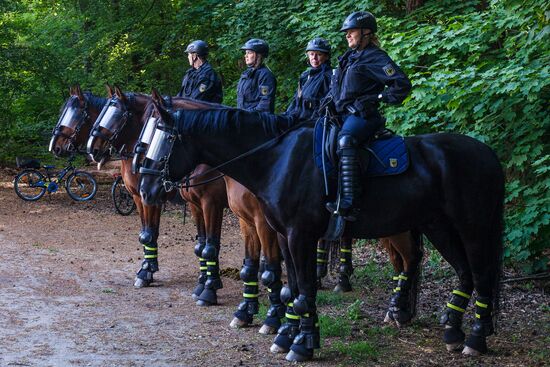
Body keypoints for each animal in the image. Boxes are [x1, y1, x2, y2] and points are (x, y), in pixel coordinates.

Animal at [141, 97, 504, 362]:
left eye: (164, 140)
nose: (146, 189)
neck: (276, 159)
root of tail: (487, 152)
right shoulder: (282, 235)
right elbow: (291, 289)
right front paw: (287, 335)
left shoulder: (299, 235)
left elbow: (302, 289)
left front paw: (302, 343)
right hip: (436, 225)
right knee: (461, 272)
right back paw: (451, 331)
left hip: (471, 227)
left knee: (479, 274)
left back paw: (474, 336)